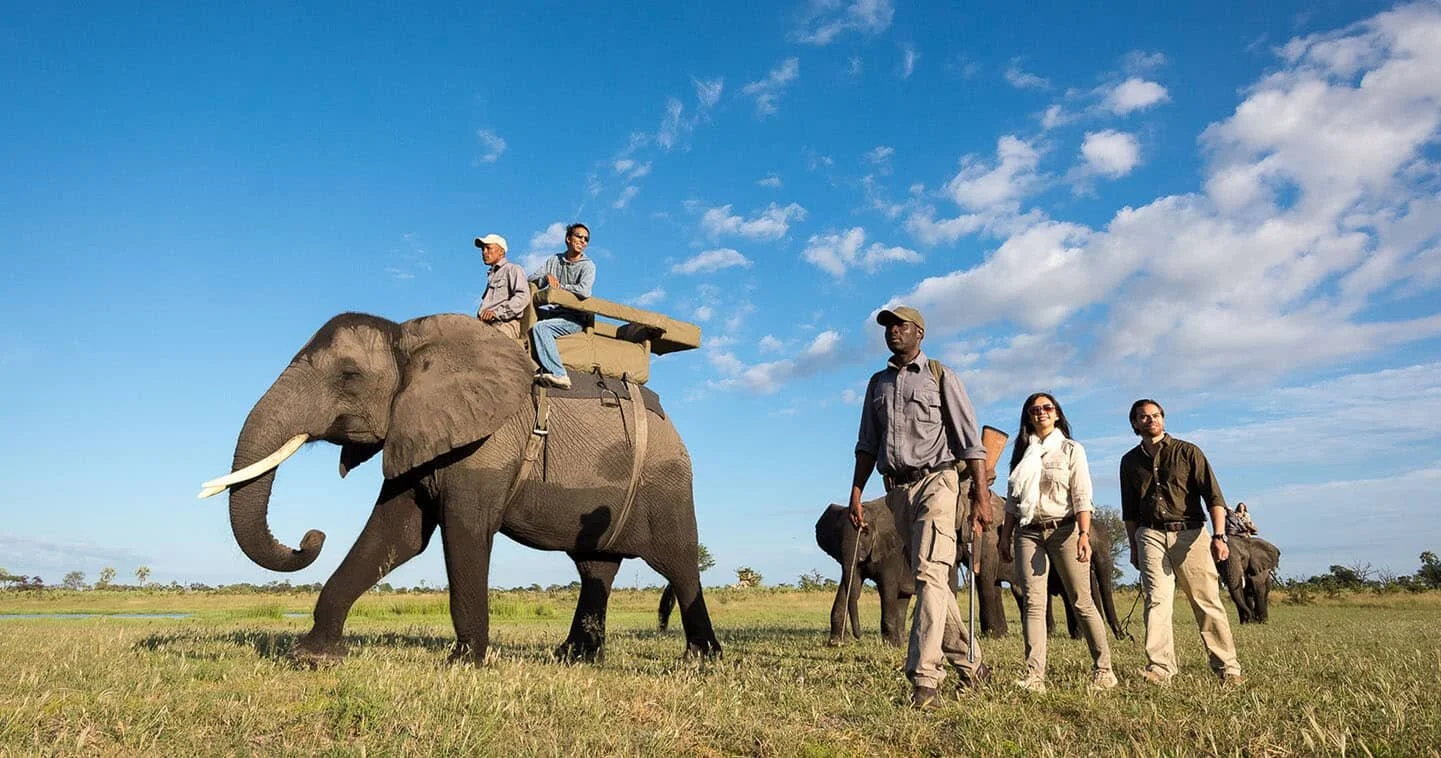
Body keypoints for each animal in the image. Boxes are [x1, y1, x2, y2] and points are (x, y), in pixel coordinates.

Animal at [200, 312, 721, 665]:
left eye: (348, 377)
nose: (312, 536)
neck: (410, 338)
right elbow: (396, 536)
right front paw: (311, 657)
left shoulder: (487, 446)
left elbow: (464, 531)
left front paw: (464, 662)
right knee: (597, 567)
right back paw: (573, 658)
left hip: (668, 481)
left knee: (678, 562)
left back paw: (702, 661)